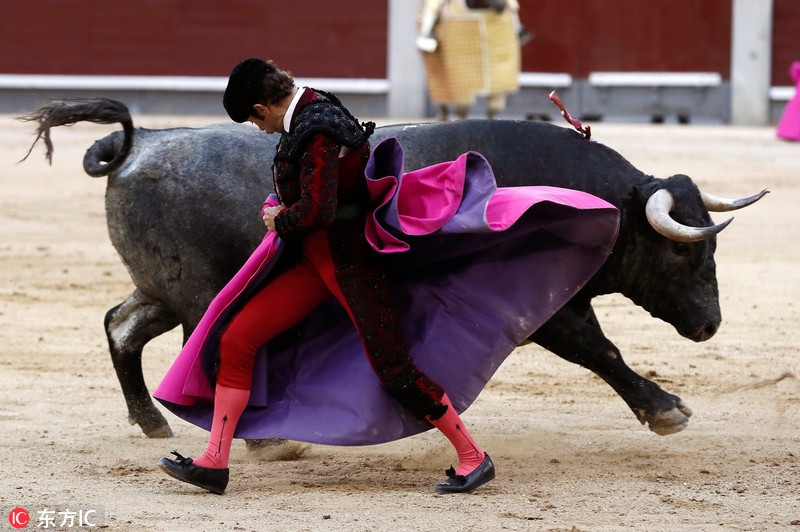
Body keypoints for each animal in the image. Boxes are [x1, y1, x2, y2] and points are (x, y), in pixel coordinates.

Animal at [21, 97, 764, 438]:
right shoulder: (546, 306)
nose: (710, 325)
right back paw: (254, 441)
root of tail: (139, 142)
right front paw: (666, 409)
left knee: (121, 326)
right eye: (682, 248)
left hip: (162, 287)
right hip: (199, 294)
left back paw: (151, 422)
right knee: (201, 346)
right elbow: (600, 348)